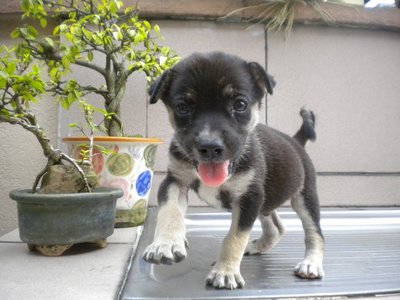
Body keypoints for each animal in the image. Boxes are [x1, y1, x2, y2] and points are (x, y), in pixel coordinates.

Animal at [142, 52, 324, 290]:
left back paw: (311, 263)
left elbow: (234, 238)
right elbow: (169, 211)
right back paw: (256, 246)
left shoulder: (248, 199)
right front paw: (166, 244)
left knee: (314, 232)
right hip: (265, 201)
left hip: (303, 198)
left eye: (240, 105)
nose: (210, 147)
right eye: (182, 107)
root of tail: (296, 141)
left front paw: (225, 272)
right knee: (276, 227)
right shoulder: (175, 181)